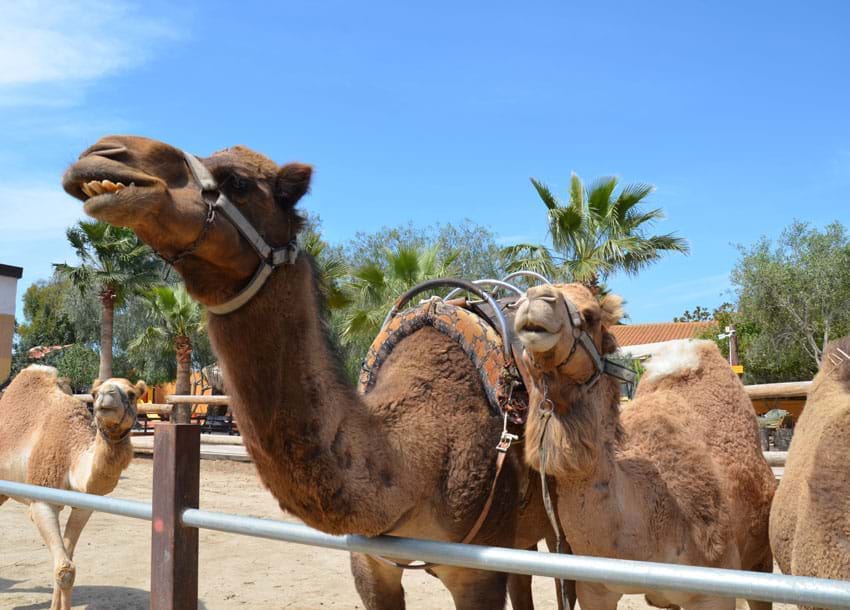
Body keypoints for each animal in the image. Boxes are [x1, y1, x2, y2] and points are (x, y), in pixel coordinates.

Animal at [0, 365, 145, 610]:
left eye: (132, 393)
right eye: (94, 393)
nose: (106, 396)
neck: (72, 459)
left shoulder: (85, 506)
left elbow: (67, 559)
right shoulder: (42, 501)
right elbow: (64, 568)